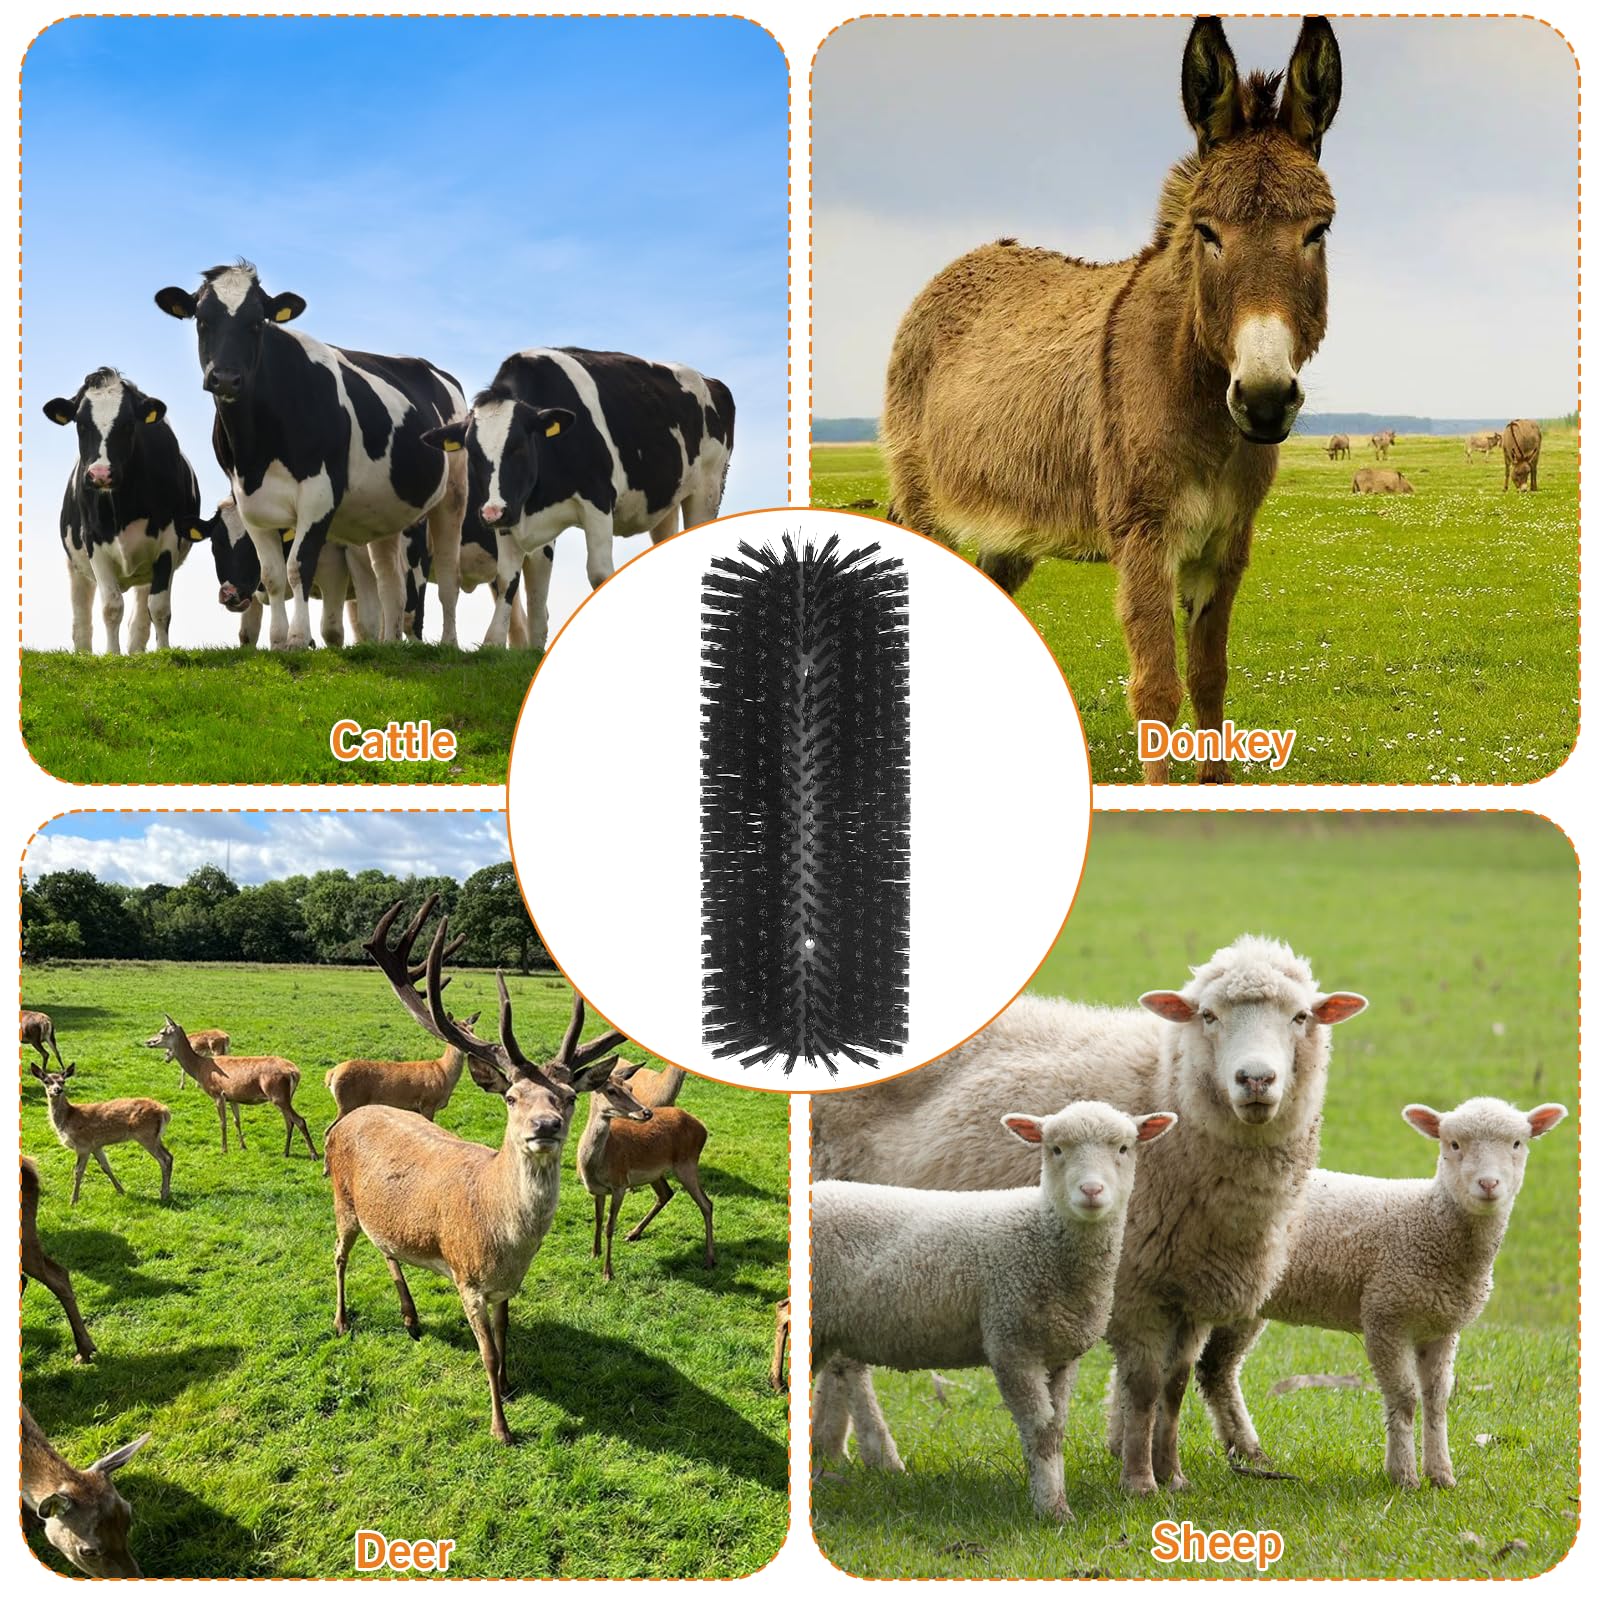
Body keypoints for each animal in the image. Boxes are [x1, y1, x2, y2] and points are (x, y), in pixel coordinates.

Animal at [43, 369, 202, 654]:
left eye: (128, 424)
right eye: (80, 424)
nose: (100, 474)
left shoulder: (168, 541)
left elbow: (159, 608)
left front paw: (164, 652)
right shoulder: (93, 541)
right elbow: (111, 606)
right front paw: (112, 655)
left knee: (141, 616)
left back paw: (137, 652)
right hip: (76, 566)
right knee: (81, 618)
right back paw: (83, 653)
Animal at [153, 262, 467, 650]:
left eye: (257, 322)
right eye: (202, 319)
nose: (225, 378)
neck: (257, 450)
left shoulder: (320, 494)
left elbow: (298, 566)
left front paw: (298, 639)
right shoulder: (248, 501)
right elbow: (273, 575)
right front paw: (277, 641)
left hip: (453, 495)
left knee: (448, 574)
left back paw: (449, 642)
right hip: (387, 511)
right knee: (389, 579)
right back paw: (389, 643)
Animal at [422, 347, 734, 648]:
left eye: (519, 446)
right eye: (472, 453)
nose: (491, 513)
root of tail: (710, 381)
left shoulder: (597, 499)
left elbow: (599, 573)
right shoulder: (512, 512)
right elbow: (511, 579)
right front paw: (501, 643)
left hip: (707, 488)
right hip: (665, 503)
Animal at [812, 1101, 1178, 1521]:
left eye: (1123, 1148)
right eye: (1055, 1149)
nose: (1091, 1191)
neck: (1042, 1234)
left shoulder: (1061, 1354)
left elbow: (1056, 1430)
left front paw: (1054, 1499)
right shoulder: (1011, 1342)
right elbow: (1040, 1430)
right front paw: (1052, 1510)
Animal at [1195, 1096, 1568, 1489]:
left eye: (1517, 1144)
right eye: (1453, 1144)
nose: (1488, 1183)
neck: (1429, 1222)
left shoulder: (1441, 1327)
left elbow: (1437, 1399)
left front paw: (1441, 1475)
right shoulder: (1385, 1315)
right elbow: (1404, 1398)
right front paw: (1403, 1476)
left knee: (1217, 1371)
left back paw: (1248, 1451)